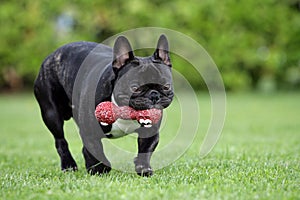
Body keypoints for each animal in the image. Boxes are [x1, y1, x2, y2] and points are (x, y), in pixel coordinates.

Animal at [34, 34, 173, 177]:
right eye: (135, 87)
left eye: (167, 86)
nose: (154, 95)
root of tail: (52, 55)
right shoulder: (89, 131)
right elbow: (96, 149)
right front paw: (100, 169)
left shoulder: (150, 132)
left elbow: (145, 150)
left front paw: (143, 168)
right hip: (51, 114)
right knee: (60, 140)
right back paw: (69, 165)